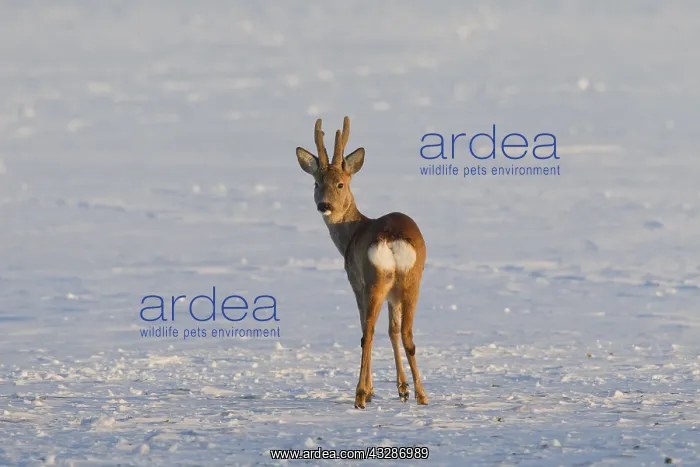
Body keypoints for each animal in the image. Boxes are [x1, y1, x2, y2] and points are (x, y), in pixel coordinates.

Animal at [295, 116, 428, 409]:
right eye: (316, 183)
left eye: (340, 184)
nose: (324, 206)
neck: (353, 232)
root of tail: (390, 237)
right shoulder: (393, 295)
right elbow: (393, 330)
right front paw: (402, 389)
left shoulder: (355, 282)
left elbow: (372, 330)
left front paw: (371, 390)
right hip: (411, 280)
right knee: (407, 334)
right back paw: (422, 395)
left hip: (374, 280)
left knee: (367, 333)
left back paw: (359, 396)